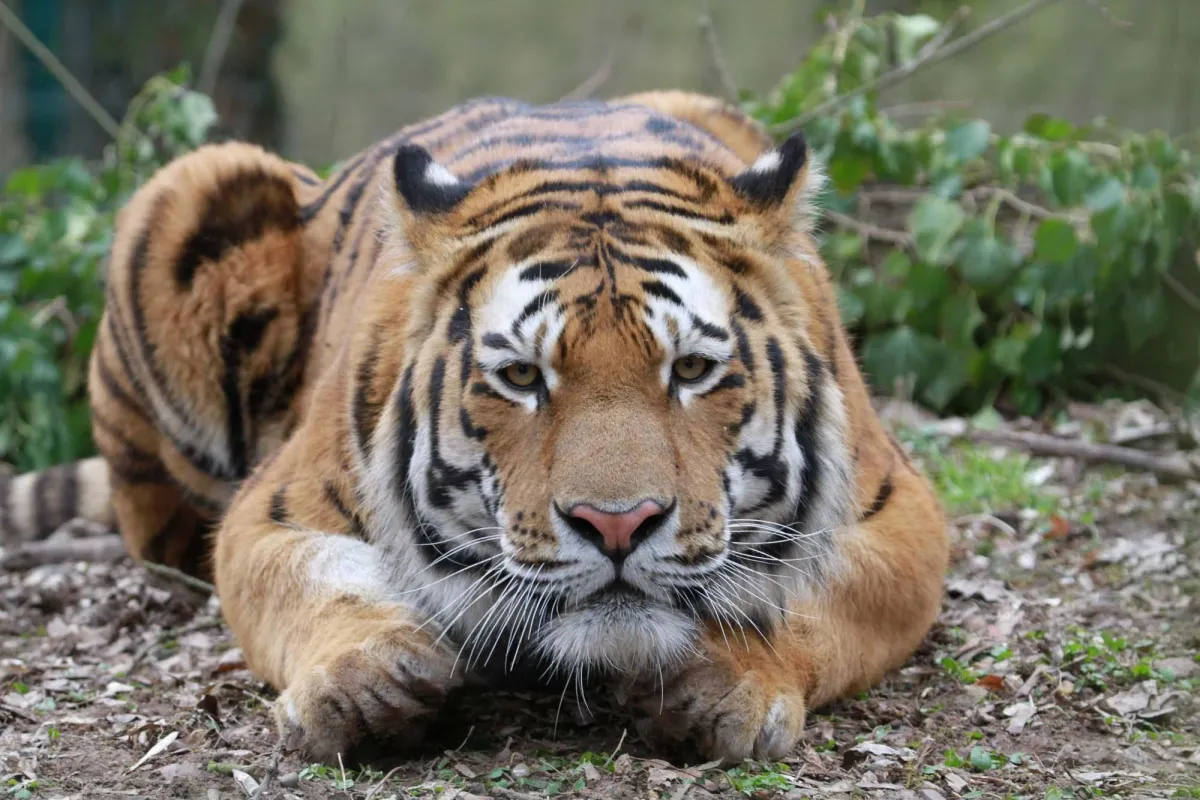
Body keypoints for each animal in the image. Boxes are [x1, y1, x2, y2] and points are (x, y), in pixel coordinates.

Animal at [0, 90, 949, 763]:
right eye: (523, 378)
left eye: (689, 371)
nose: (618, 525)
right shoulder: (272, 509)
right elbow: (316, 580)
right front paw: (363, 681)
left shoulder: (900, 513)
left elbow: (809, 596)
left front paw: (723, 678)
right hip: (199, 185)